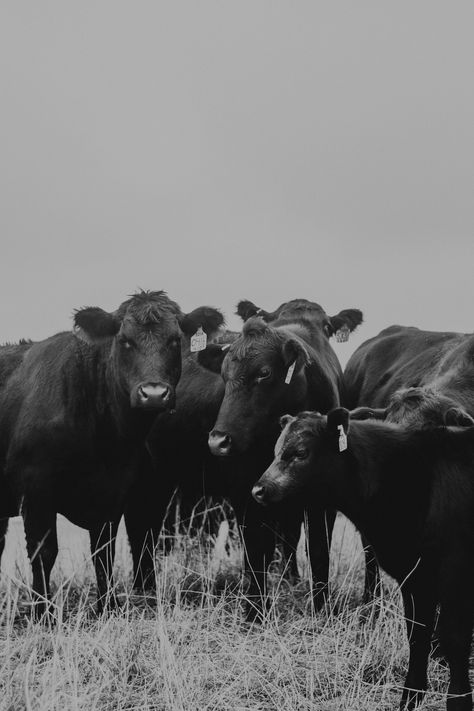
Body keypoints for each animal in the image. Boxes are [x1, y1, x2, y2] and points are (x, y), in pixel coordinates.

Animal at [0, 292, 222, 616]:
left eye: (174, 340)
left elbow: (103, 552)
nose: (153, 393)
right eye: (125, 341)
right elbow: (44, 553)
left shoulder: (113, 494)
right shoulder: (36, 494)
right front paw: (44, 612)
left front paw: (107, 605)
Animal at [196, 298, 362, 616]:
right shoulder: (244, 491)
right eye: (223, 373)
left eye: (264, 373)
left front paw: (321, 606)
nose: (219, 441)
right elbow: (254, 547)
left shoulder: (323, 500)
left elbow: (318, 549)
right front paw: (254, 609)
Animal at [254, 408, 474, 708]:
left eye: (300, 452)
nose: (258, 490)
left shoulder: (455, 577)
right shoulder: (415, 578)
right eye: (276, 450)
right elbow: (418, 636)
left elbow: (455, 641)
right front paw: (410, 698)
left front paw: (460, 700)